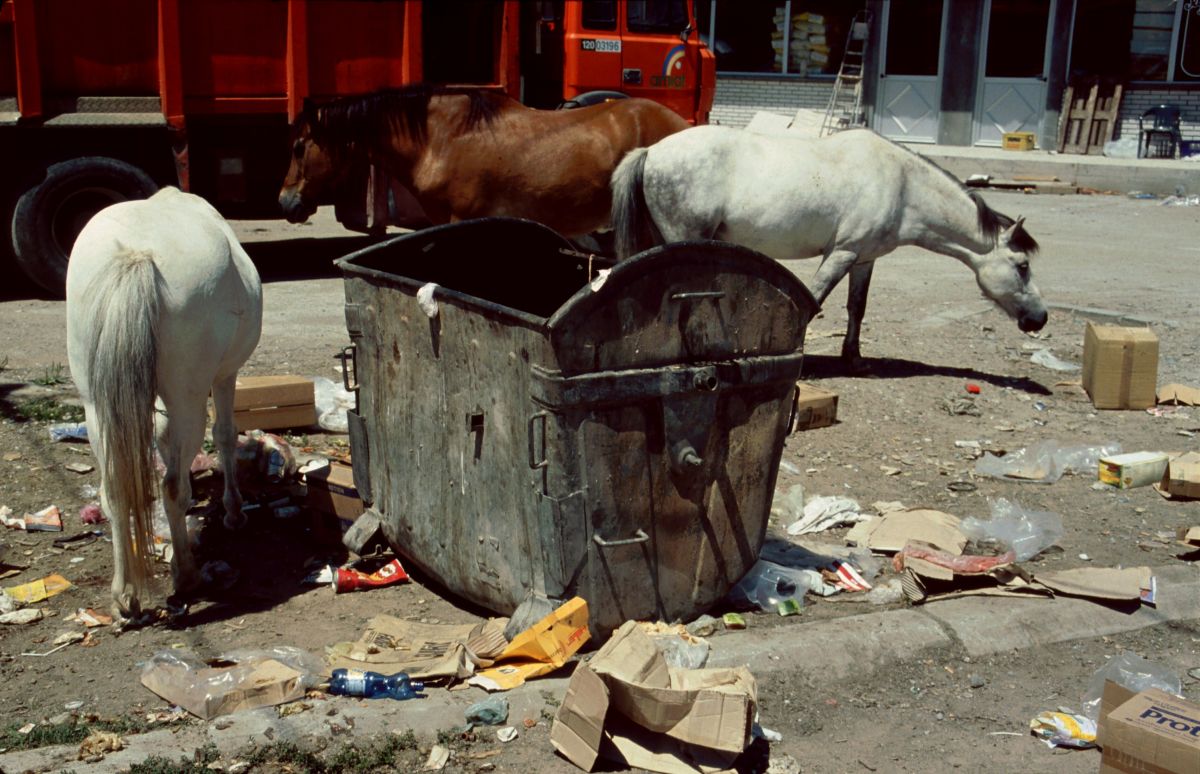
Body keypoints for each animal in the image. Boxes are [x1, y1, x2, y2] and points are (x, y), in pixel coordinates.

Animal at [68, 186, 260, 624]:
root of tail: (135, 255)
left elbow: (161, 438)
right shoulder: (225, 376)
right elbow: (225, 435)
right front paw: (234, 511)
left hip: (96, 405)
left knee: (114, 489)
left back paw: (125, 595)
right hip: (189, 395)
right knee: (172, 485)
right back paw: (186, 575)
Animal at [614, 126, 1046, 364]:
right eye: (1022, 265)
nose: (1039, 319)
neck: (902, 184)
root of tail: (651, 151)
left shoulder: (864, 260)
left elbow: (857, 307)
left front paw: (853, 358)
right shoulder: (841, 254)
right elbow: (814, 300)